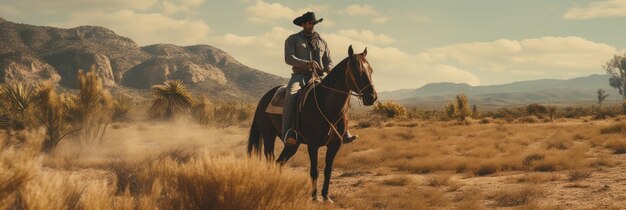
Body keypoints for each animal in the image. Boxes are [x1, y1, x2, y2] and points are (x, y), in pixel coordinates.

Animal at [246, 45, 378, 203]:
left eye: (371, 70)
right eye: (356, 70)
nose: (372, 97)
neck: (327, 106)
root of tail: (264, 98)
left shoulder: (335, 144)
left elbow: (328, 170)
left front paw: (326, 196)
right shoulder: (313, 145)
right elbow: (314, 171)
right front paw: (315, 197)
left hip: (292, 144)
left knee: (279, 162)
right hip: (268, 136)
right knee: (271, 160)